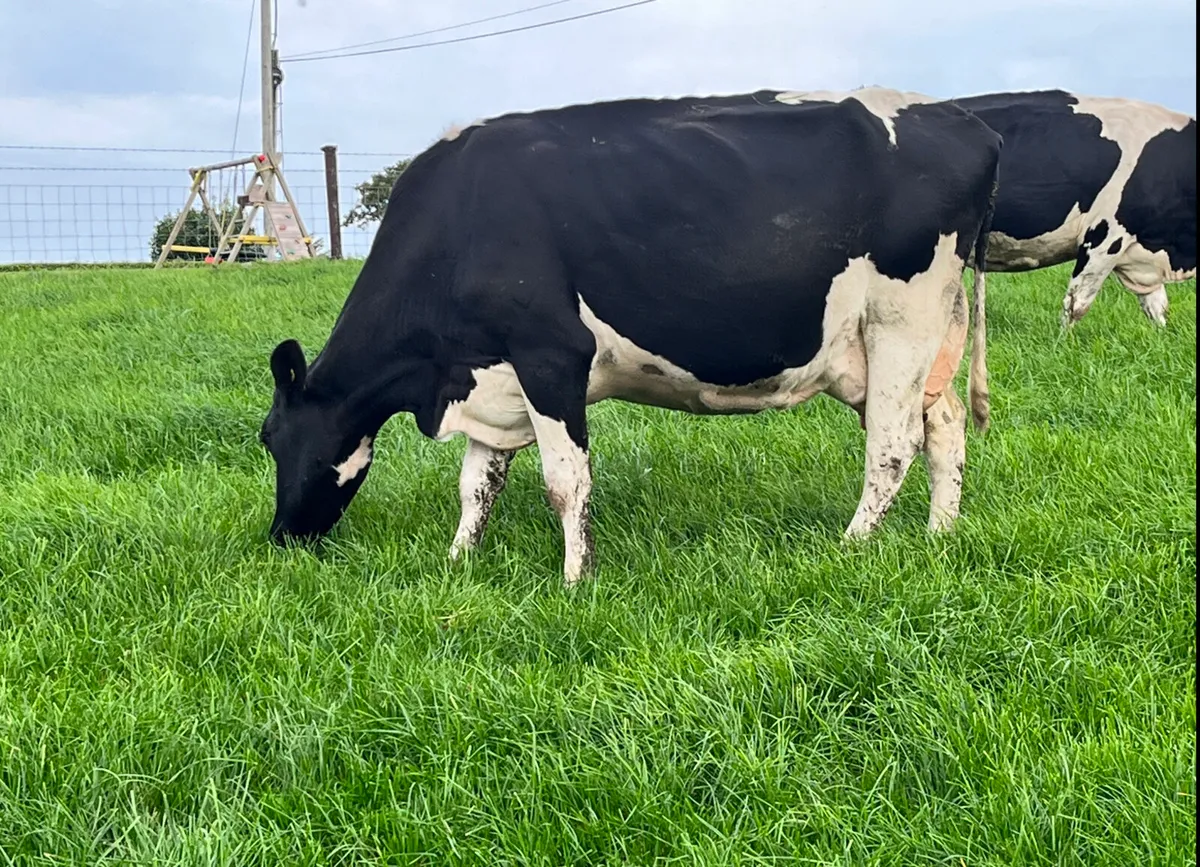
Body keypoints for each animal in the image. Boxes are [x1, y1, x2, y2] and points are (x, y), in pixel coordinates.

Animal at [258, 87, 1002, 587]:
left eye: (269, 437)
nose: (281, 537)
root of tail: (969, 124)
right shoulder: (489, 370)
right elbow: (477, 483)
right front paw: (458, 558)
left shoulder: (550, 355)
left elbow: (565, 480)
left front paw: (574, 578)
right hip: (910, 340)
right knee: (944, 425)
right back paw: (940, 534)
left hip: (901, 319)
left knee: (892, 443)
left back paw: (852, 544)